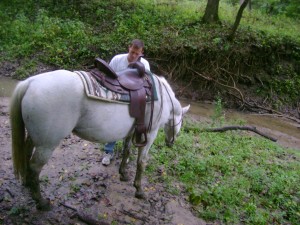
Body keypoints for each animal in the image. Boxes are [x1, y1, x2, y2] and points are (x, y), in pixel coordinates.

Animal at [9, 69, 190, 210]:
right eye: (181, 122)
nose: (171, 142)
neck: (162, 96)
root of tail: (30, 82)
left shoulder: (131, 132)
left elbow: (126, 151)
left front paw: (123, 174)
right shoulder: (150, 134)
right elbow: (141, 162)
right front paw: (139, 190)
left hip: (35, 138)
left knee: (26, 155)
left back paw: (27, 185)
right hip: (46, 145)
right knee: (34, 168)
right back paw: (41, 202)